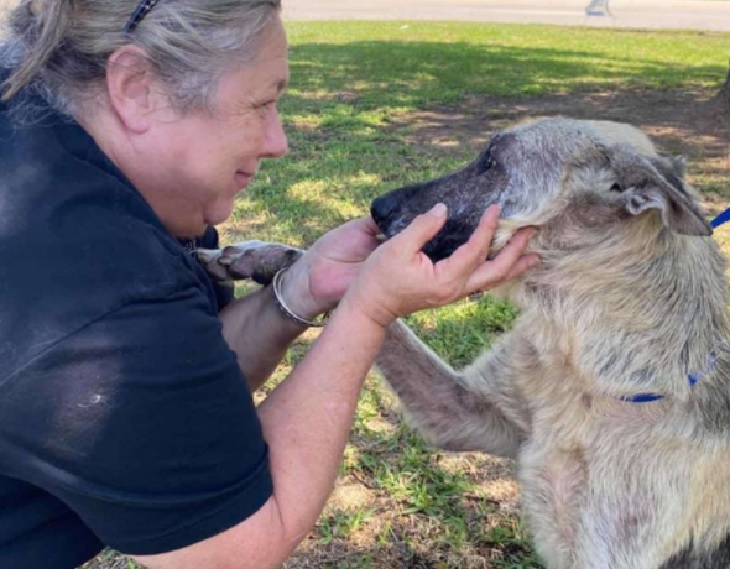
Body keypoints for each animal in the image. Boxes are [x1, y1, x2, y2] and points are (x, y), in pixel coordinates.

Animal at [196, 117, 728, 564]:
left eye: (491, 161)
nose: (376, 209)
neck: (582, 367)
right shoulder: (462, 411)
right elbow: (349, 285)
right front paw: (256, 256)